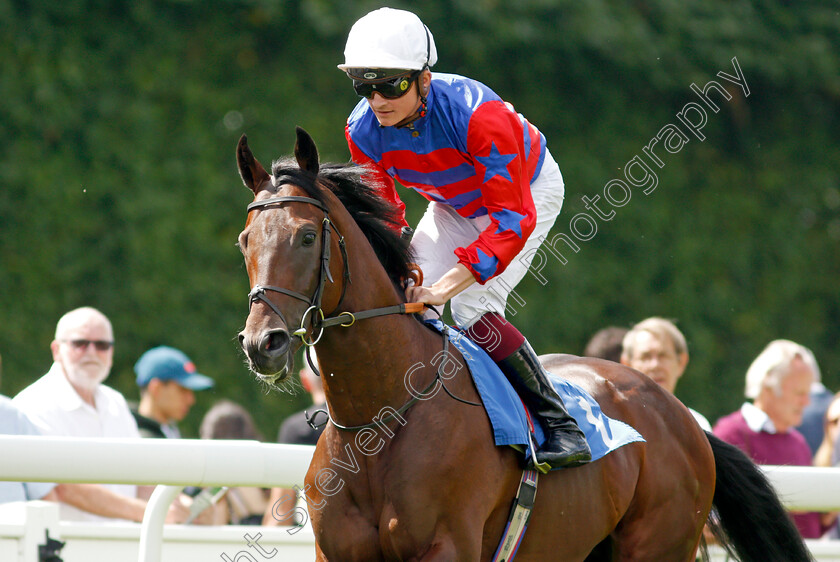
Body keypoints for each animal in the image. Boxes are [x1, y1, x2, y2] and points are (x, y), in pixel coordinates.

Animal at [233, 128, 812, 560]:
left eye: (307, 236)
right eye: (244, 241)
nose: (264, 343)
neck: (381, 419)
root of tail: (683, 418)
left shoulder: (447, 547)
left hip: (658, 544)